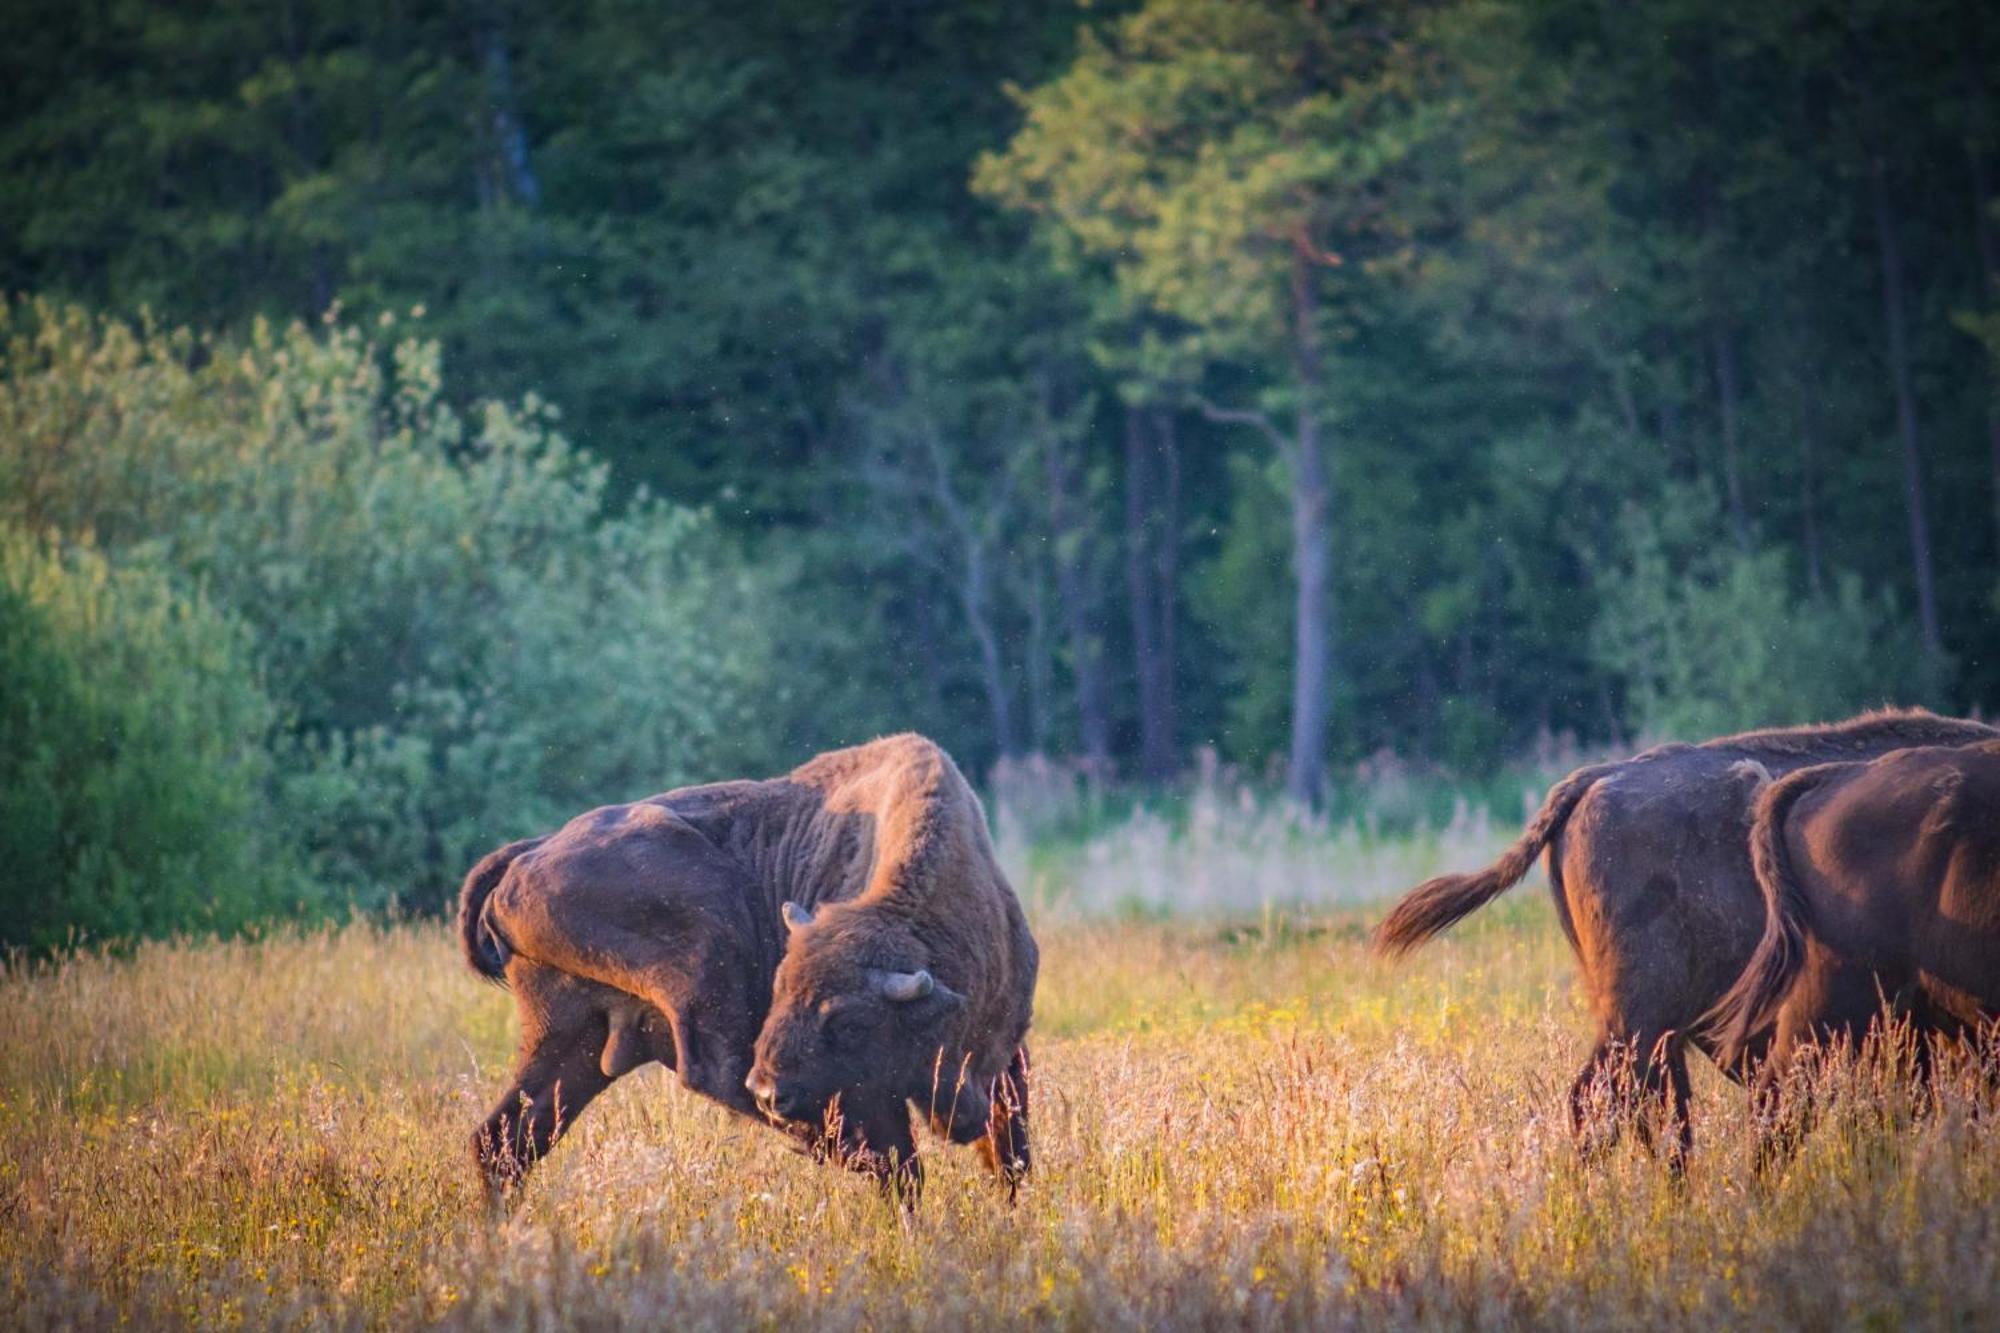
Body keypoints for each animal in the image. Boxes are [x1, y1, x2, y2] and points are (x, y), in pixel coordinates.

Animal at [458, 732, 1040, 1200]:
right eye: (779, 989)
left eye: (851, 1022)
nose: (771, 1090)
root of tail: (530, 852)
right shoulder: (870, 1095)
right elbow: (903, 1158)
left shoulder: (1002, 1061)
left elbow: (1009, 1154)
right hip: (708, 933)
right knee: (715, 1066)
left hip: (569, 1038)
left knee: (504, 1140)